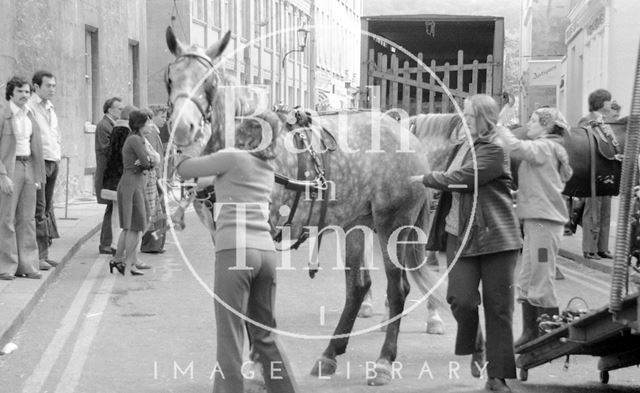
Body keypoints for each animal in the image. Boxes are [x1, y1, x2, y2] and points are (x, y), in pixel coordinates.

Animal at [160, 27, 452, 386]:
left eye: (209, 82)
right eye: (170, 78)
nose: (182, 127)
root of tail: (408, 137)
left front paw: (261, 363)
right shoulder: (223, 235)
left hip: (392, 226)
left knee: (398, 289)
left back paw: (384, 360)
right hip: (356, 225)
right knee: (358, 287)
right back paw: (330, 353)